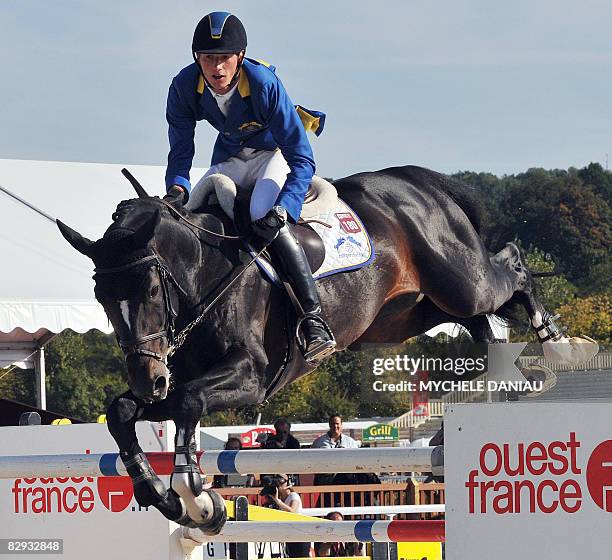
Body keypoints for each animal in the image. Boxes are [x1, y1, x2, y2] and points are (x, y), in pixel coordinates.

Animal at [56, 164, 592, 532]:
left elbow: (188, 402)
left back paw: (561, 347)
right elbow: (122, 411)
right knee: (481, 319)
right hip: (409, 313)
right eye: (101, 296)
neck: (205, 276)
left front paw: (196, 496)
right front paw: (157, 491)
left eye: (150, 290)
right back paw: (511, 379)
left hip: (460, 281)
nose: (149, 378)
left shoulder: (251, 377)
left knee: (511, 271)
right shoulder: (176, 378)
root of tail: (416, 181)